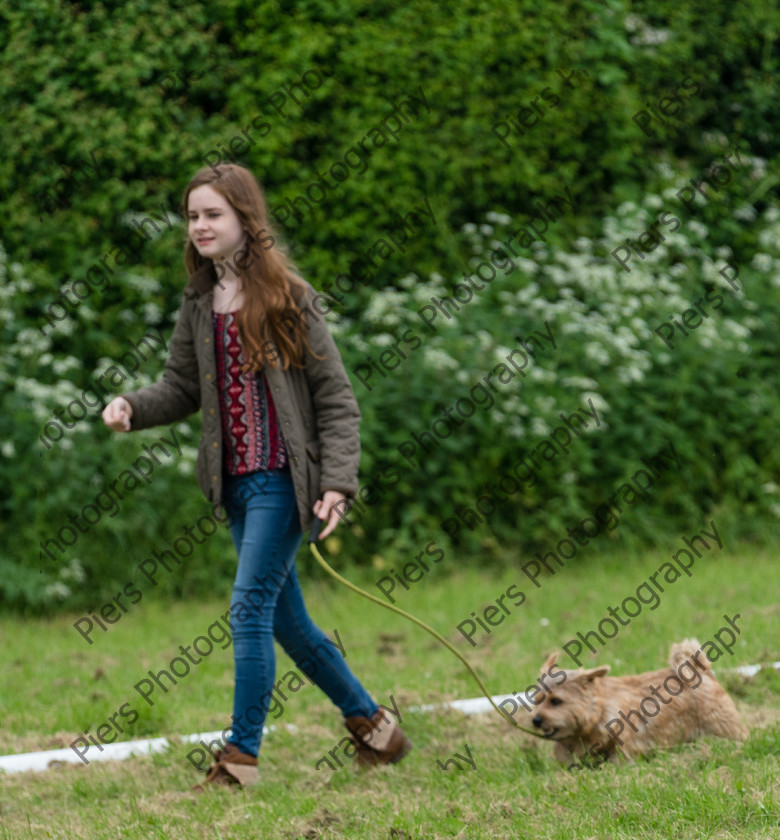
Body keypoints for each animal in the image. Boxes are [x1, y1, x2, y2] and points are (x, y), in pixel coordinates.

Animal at [532, 640, 748, 764]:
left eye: (556, 701)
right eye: (536, 700)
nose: (536, 720)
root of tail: (702, 671)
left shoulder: (626, 746)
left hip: (723, 727)